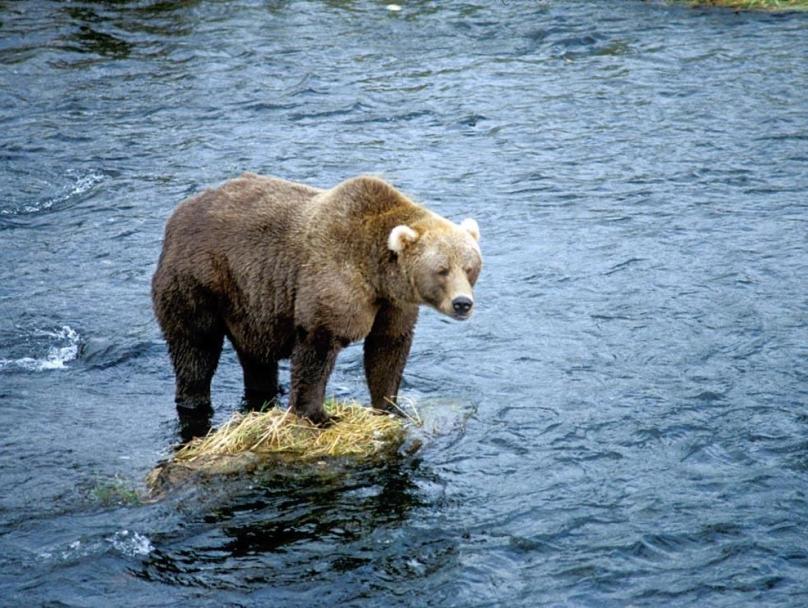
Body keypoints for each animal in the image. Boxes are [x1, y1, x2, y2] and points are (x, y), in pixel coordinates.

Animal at [152, 173, 482, 426]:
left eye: (469, 267)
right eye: (441, 269)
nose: (462, 303)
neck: (375, 273)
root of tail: (176, 216)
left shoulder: (393, 304)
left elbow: (387, 347)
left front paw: (389, 406)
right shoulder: (333, 280)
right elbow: (317, 348)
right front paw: (318, 415)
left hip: (248, 302)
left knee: (255, 355)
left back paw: (265, 392)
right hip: (198, 281)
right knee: (195, 347)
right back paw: (194, 400)